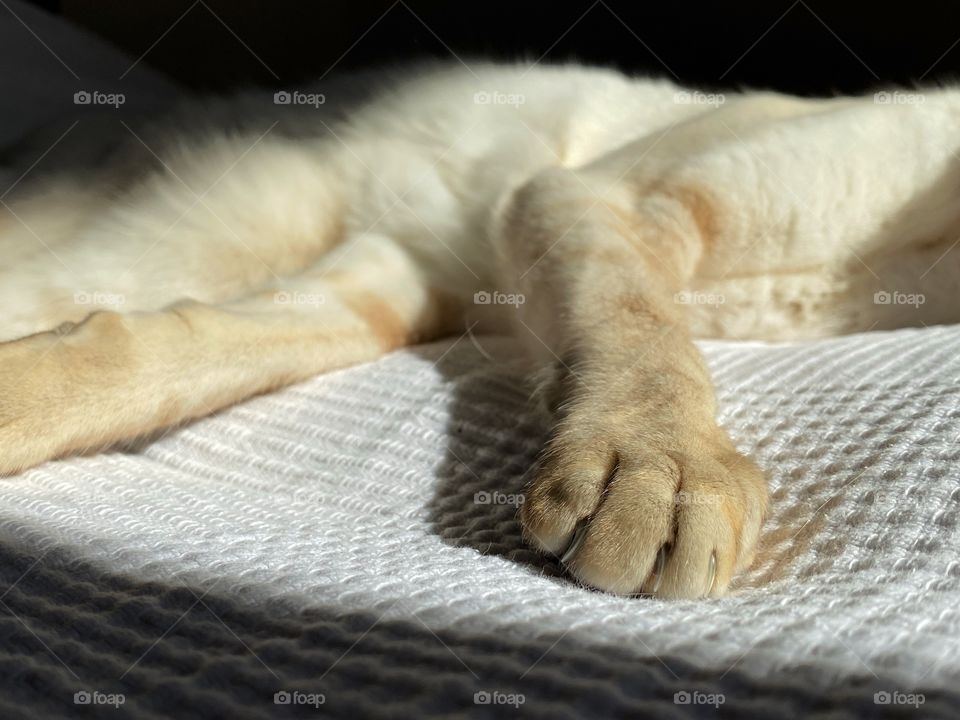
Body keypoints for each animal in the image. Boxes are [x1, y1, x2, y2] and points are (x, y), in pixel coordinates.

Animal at [1, 62, 960, 600]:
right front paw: (665, 464)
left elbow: (165, 355)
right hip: (180, 231)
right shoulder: (597, 195)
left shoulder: (407, 275)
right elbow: (648, 336)